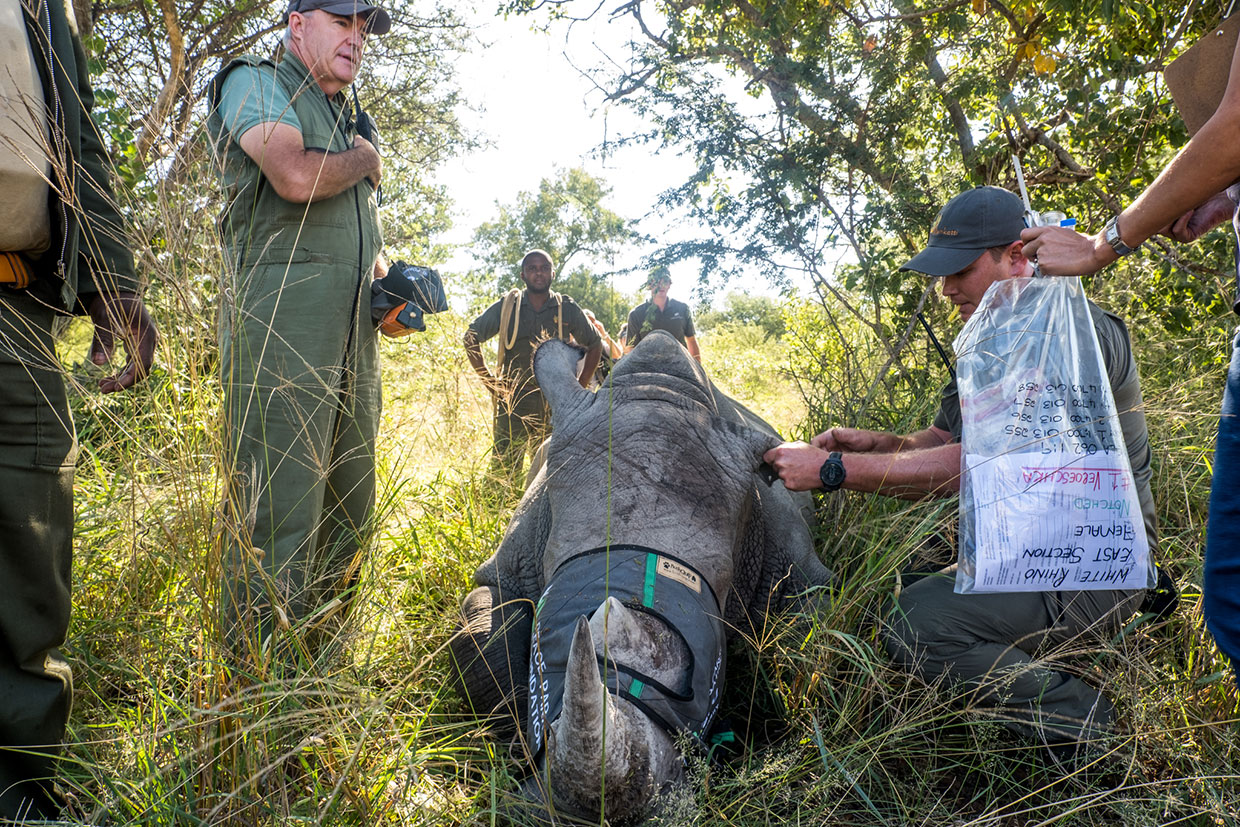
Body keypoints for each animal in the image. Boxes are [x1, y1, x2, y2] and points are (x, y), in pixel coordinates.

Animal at [448, 332, 833, 823]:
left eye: (720, 588)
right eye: (555, 566)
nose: (588, 818)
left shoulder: (798, 574)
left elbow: (810, 653)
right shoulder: (508, 571)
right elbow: (480, 644)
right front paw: (520, 750)